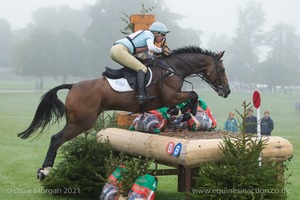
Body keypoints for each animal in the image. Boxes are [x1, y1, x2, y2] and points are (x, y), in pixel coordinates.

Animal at [17, 45, 231, 180]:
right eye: (221, 69)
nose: (227, 91)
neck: (172, 68)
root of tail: (73, 86)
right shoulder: (170, 96)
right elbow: (193, 96)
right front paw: (187, 113)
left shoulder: (172, 97)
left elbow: (189, 98)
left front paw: (181, 113)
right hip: (82, 123)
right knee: (56, 139)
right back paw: (44, 171)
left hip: (76, 121)